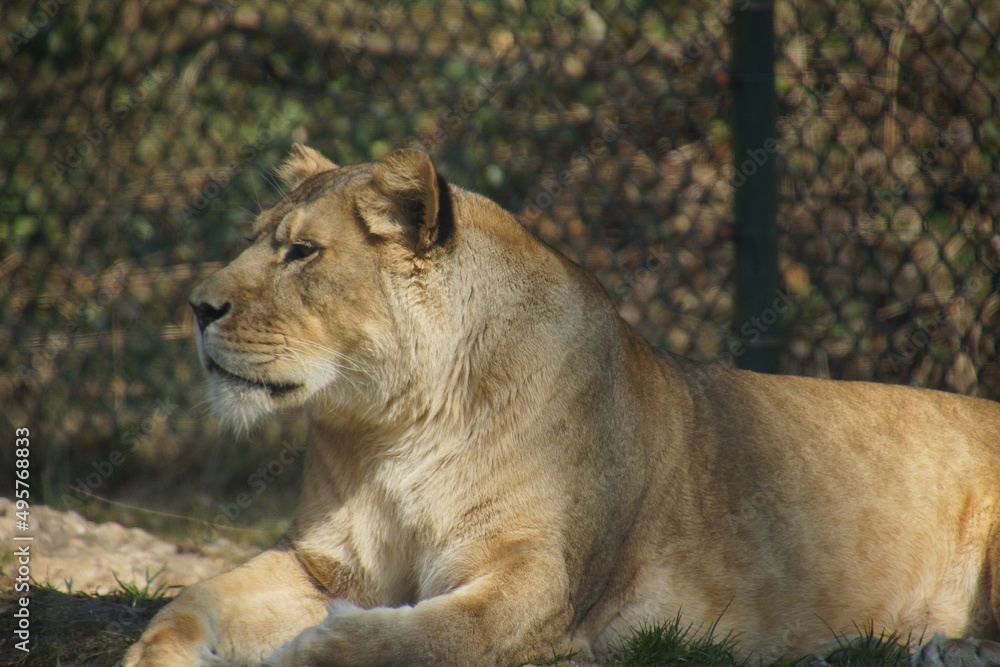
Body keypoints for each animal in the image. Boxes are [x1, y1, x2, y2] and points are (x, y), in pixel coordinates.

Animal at [126, 145, 1000, 667]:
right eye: (257, 240)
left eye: (302, 253)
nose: (196, 306)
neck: (395, 432)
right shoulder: (325, 561)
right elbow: (190, 599)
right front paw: (159, 651)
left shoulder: (537, 576)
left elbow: (438, 632)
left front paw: (318, 649)